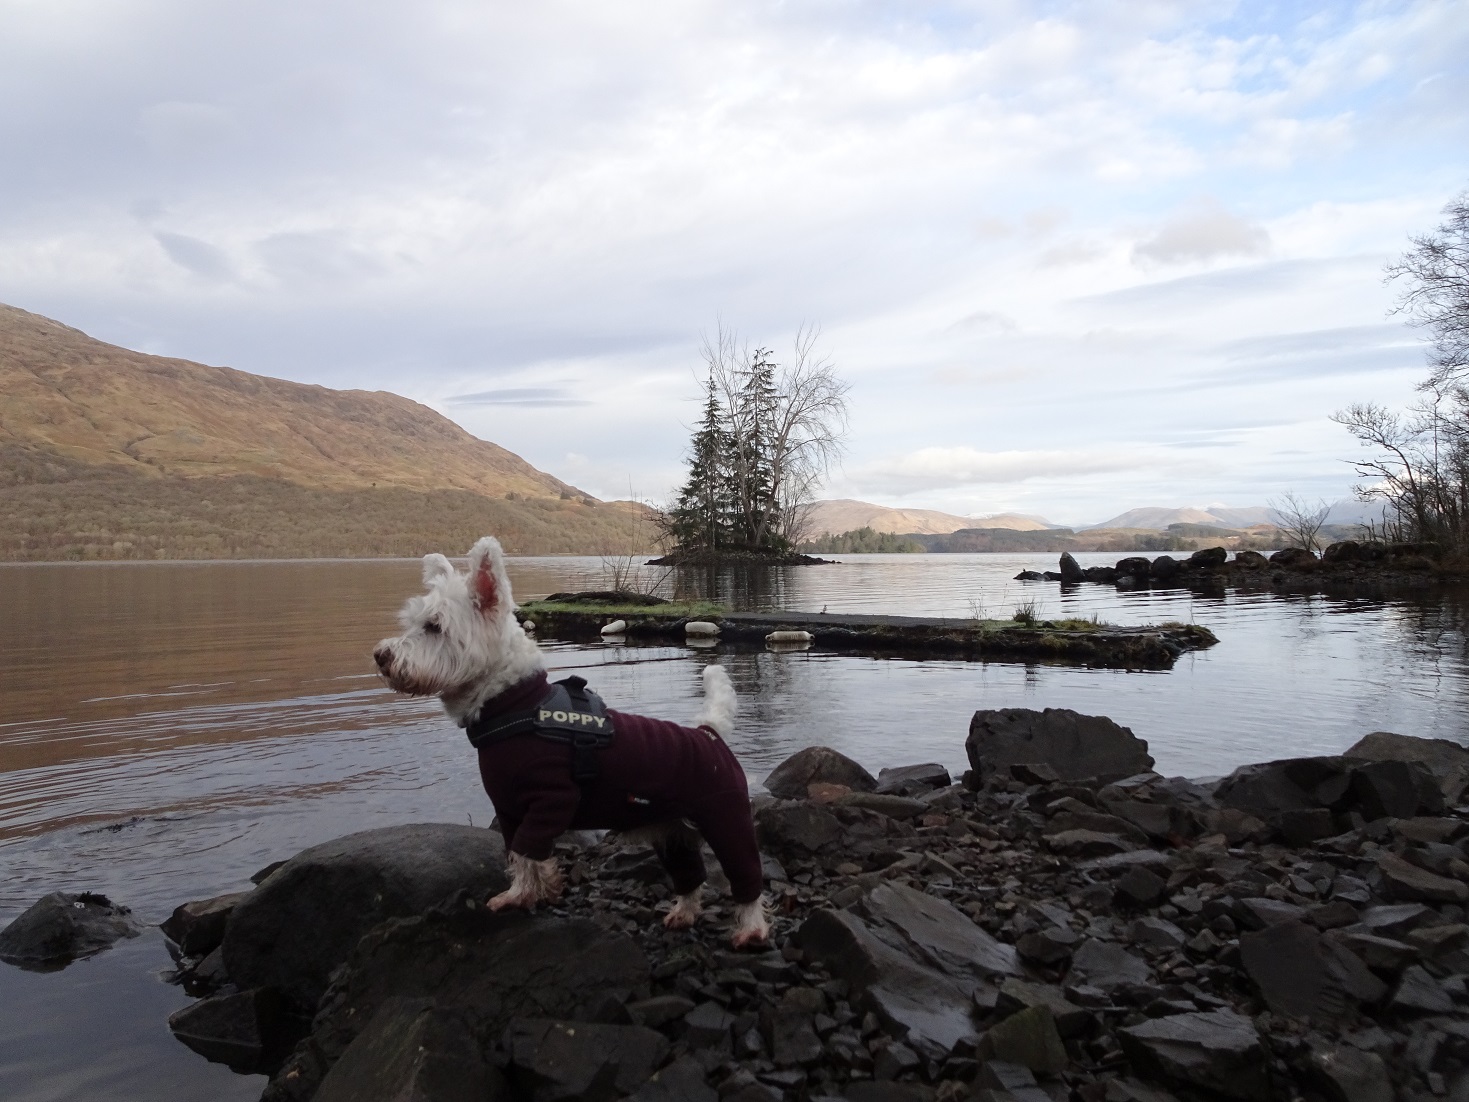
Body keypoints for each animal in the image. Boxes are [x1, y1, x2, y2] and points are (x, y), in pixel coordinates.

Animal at [373, 537, 775, 952]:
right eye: (412, 622)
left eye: (435, 626)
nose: (380, 656)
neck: (513, 703)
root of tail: (708, 732)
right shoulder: (510, 809)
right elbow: (517, 853)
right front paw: (525, 893)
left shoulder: (551, 801)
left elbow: (527, 850)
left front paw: (520, 895)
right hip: (673, 832)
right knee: (691, 875)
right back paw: (682, 914)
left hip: (725, 819)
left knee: (747, 878)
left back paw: (751, 930)